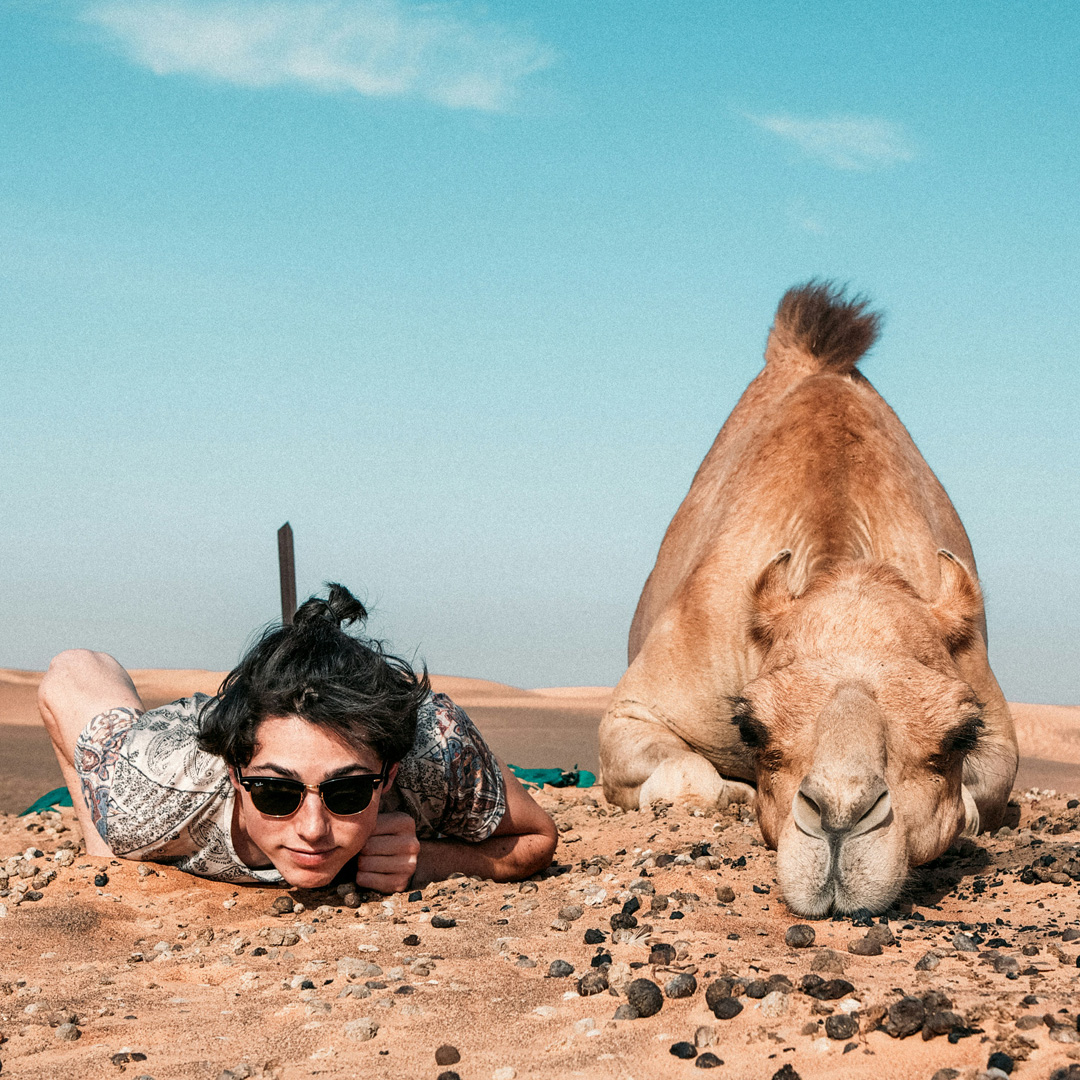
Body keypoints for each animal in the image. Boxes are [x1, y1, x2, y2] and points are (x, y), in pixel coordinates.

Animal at [604, 282, 1015, 915]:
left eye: (960, 735)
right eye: (751, 727)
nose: (840, 821)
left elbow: (975, 802)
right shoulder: (639, 706)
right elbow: (692, 782)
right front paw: (733, 794)